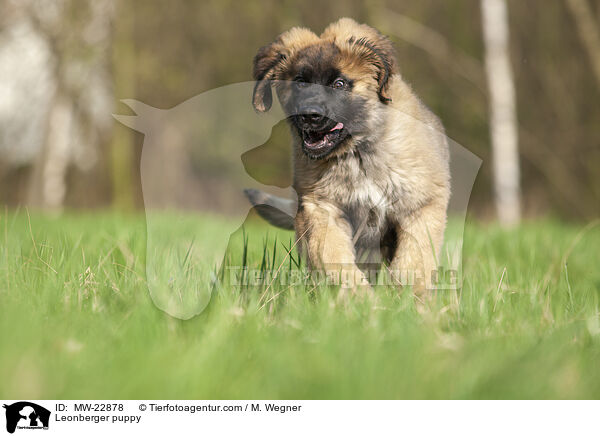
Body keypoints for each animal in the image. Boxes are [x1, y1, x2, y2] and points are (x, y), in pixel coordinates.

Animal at [245, 18, 450, 294]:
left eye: (338, 84)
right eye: (300, 82)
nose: (310, 115)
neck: (357, 153)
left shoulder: (421, 205)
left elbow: (413, 262)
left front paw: (408, 300)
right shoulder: (321, 208)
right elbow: (333, 257)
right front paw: (359, 299)